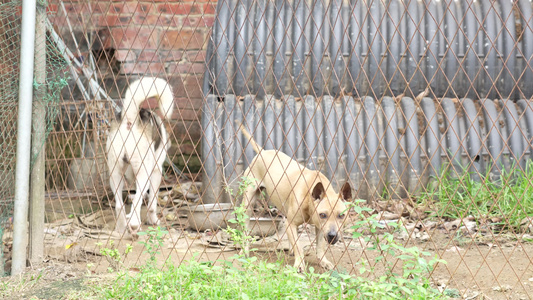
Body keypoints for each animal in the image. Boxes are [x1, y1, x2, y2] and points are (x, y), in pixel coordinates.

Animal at [107, 78, 174, 237]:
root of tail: (130, 120)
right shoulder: (156, 172)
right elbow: (151, 204)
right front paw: (153, 220)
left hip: (115, 174)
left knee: (119, 205)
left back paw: (121, 228)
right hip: (144, 172)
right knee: (137, 201)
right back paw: (134, 224)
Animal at [239, 123, 352, 270]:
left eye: (341, 215)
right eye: (323, 215)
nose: (332, 235)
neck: (309, 196)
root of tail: (262, 152)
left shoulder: (320, 227)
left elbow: (320, 245)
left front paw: (323, 260)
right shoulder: (291, 223)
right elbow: (299, 246)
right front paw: (299, 263)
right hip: (247, 205)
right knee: (245, 228)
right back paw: (244, 251)